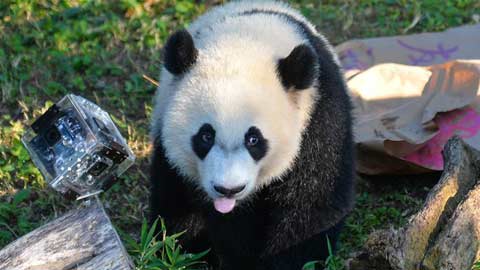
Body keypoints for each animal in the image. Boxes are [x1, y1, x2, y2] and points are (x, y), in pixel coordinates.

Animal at [148, 1, 354, 268]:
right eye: (206, 136)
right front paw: (189, 257)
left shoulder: (319, 120)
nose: (228, 189)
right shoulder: (169, 148)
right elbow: (177, 208)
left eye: (253, 139)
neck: (246, 39)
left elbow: (310, 206)